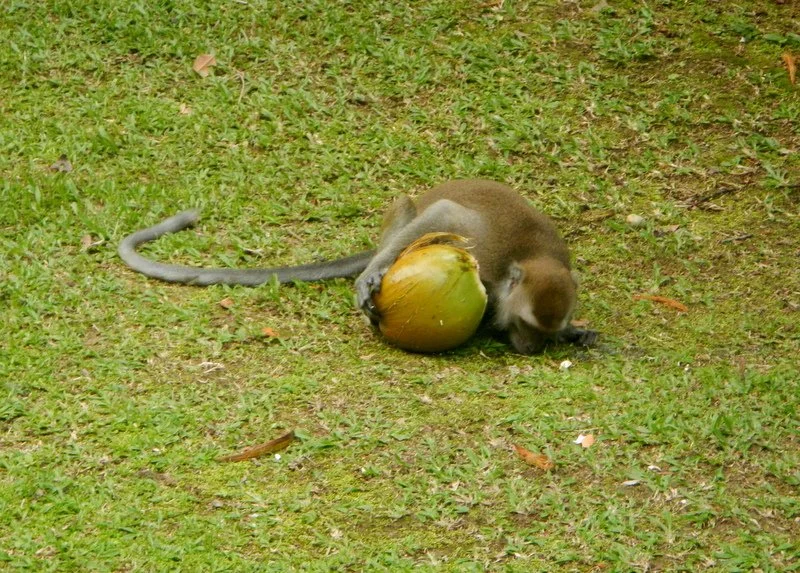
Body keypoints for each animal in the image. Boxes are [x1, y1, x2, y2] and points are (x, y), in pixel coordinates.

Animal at [118, 179, 596, 353]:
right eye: (527, 325)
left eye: (545, 332)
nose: (530, 348)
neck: (531, 256)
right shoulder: (487, 248)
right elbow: (444, 214)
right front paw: (369, 279)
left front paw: (575, 333)